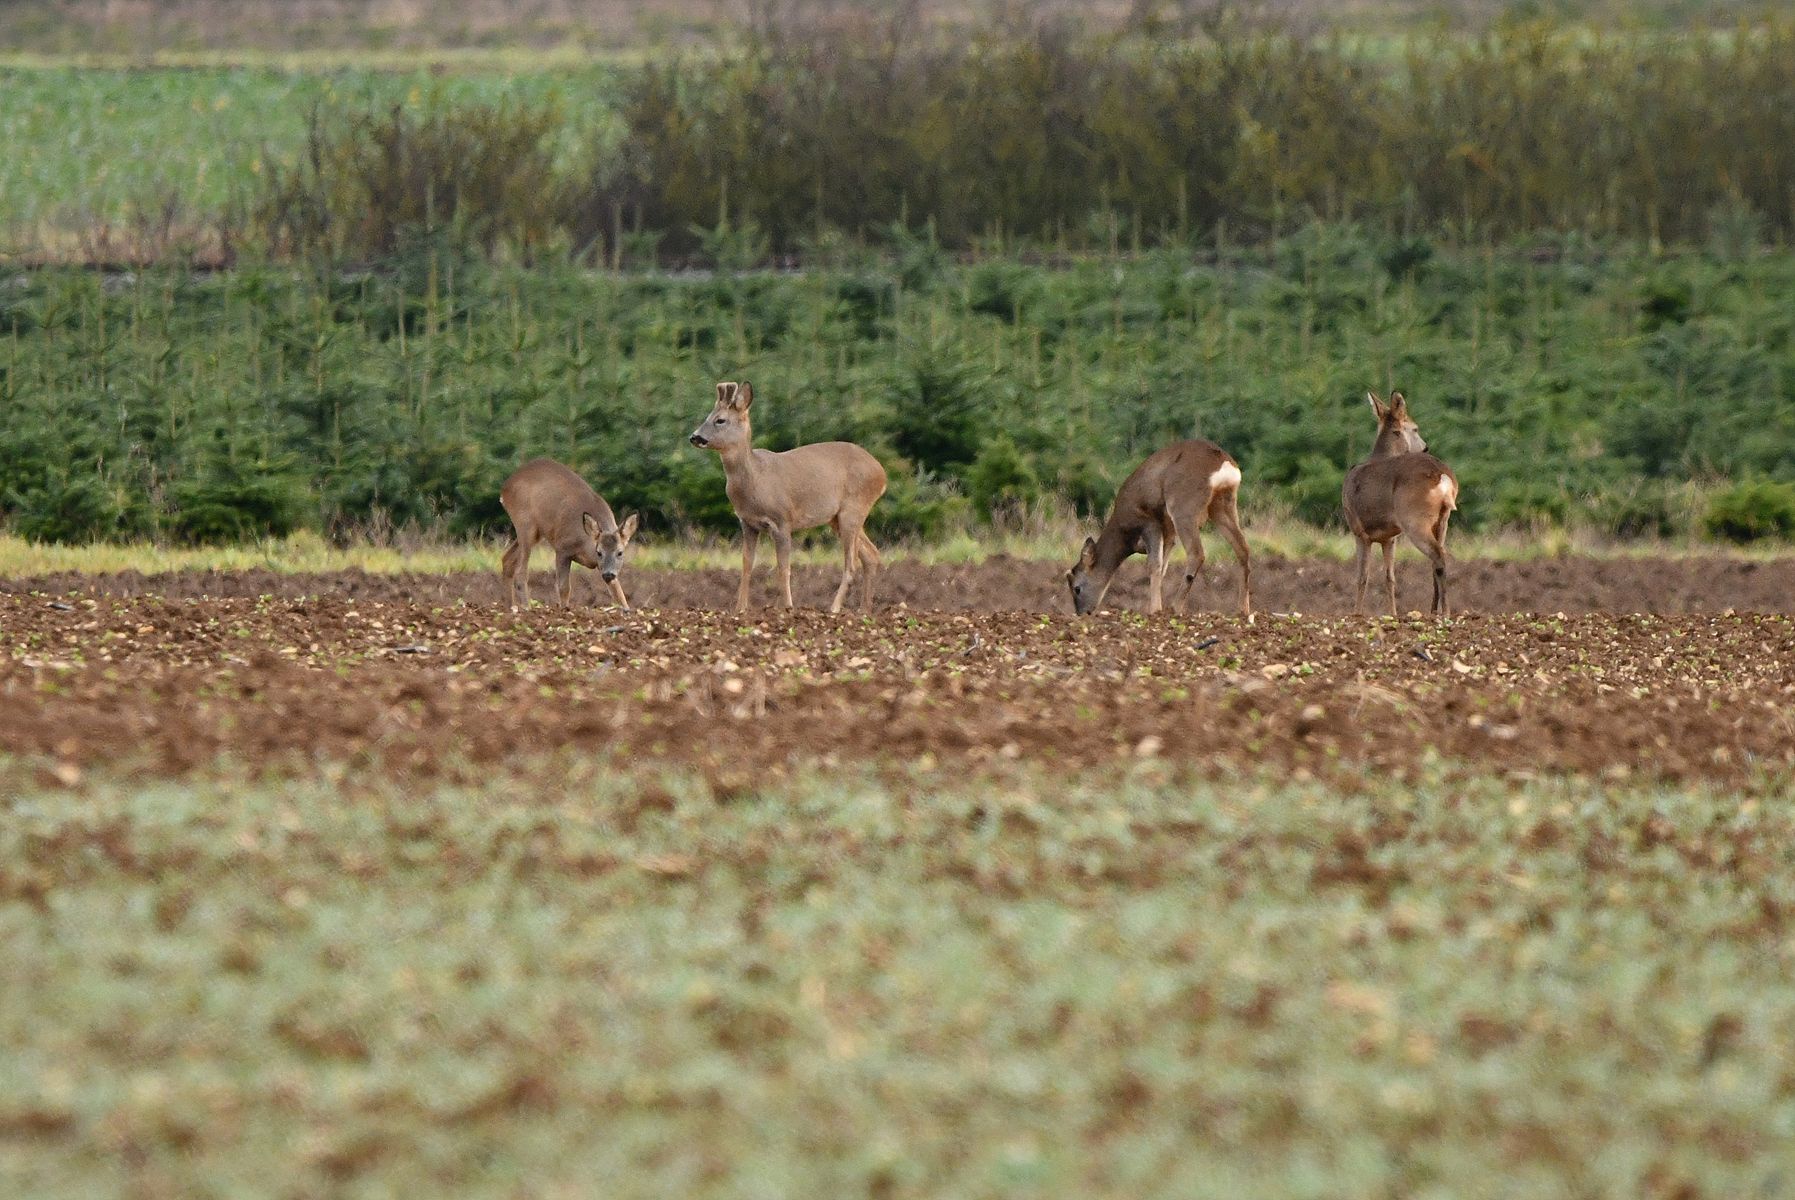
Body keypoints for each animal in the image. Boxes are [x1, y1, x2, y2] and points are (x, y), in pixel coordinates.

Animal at [499, 455, 639, 613]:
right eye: (599, 552)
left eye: (620, 552)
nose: (609, 574)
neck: (585, 543)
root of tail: (504, 489)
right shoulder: (562, 548)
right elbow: (564, 587)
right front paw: (564, 610)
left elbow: (618, 591)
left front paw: (627, 610)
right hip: (525, 523)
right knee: (520, 571)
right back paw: (526, 608)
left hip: (536, 532)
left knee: (507, 560)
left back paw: (510, 607)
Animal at [682, 382, 886, 613]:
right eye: (708, 416)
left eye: (720, 420)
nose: (694, 437)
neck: (756, 479)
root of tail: (882, 474)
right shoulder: (747, 522)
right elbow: (746, 564)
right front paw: (740, 609)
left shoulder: (782, 520)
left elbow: (783, 566)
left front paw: (788, 607)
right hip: (837, 518)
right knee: (871, 555)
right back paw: (864, 610)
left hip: (854, 508)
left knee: (851, 564)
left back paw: (834, 608)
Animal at [1062, 435, 1249, 613]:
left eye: (1077, 588)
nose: (1082, 613)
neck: (1125, 532)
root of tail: (1223, 462)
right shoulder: (1169, 532)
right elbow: (1163, 567)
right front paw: (1156, 607)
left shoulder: (1149, 522)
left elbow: (1154, 565)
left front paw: (1154, 610)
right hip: (1222, 505)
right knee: (1243, 548)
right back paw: (1243, 610)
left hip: (1183, 507)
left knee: (1197, 553)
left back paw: (1175, 608)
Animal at [1349, 391, 1457, 617]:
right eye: (1415, 428)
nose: (1425, 447)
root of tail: (1441, 475)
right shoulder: (1390, 537)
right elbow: (1390, 577)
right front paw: (1393, 614)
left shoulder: (1359, 531)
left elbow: (1362, 576)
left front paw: (1356, 614)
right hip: (1443, 520)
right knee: (1436, 560)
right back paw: (1433, 611)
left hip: (1414, 519)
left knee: (1439, 556)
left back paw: (1445, 612)